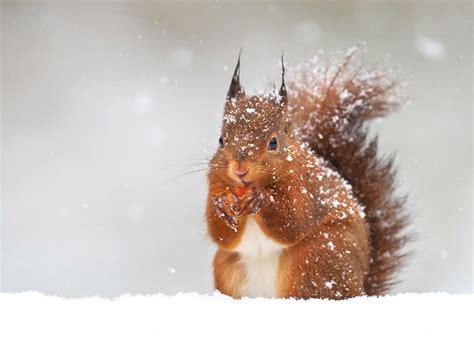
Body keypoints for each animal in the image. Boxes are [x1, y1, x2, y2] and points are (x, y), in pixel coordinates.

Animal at [206, 48, 410, 298]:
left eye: (273, 143)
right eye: (221, 140)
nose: (240, 170)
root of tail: (360, 287)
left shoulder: (306, 186)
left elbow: (294, 221)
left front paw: (261, 200)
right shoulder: (215, 181)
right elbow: (221, 235)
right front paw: (222, 205)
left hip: (316, 259)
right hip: (227, 268)